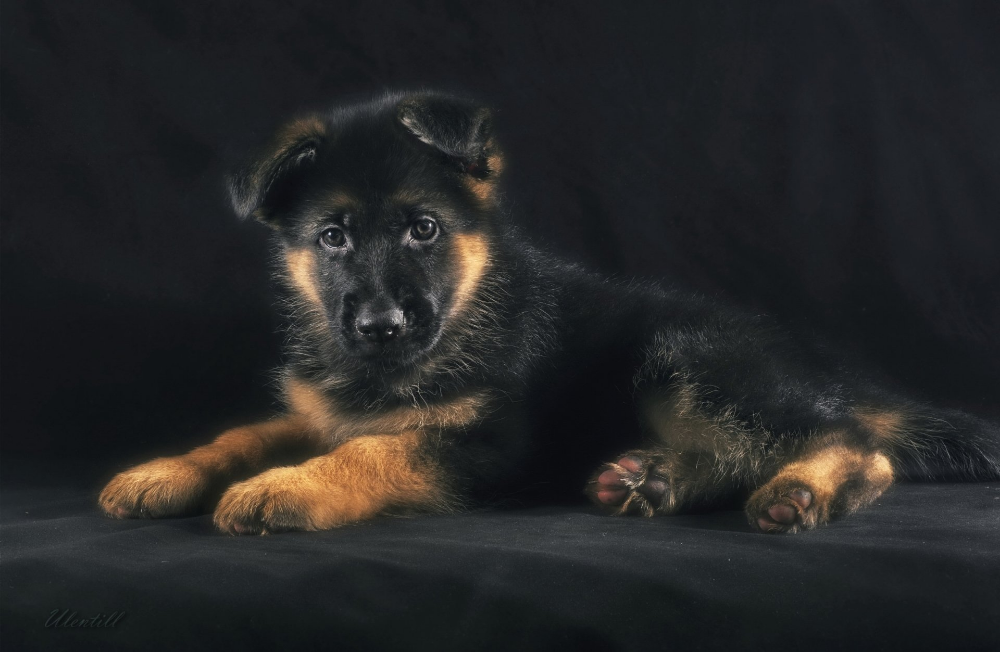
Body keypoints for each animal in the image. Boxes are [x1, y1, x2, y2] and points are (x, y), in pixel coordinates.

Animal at [99, 93, 1000, 536]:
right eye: (332, 237)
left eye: (424, 229)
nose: (383, 327)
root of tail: (832, 376)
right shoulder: (318, 413)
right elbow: (243, 432)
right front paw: (164, 470)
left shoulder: (488, 443)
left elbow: (379, 451)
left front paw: (287, 486)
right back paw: (654, 478)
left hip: (688, 355)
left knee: (856, 444)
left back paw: (800, 491)